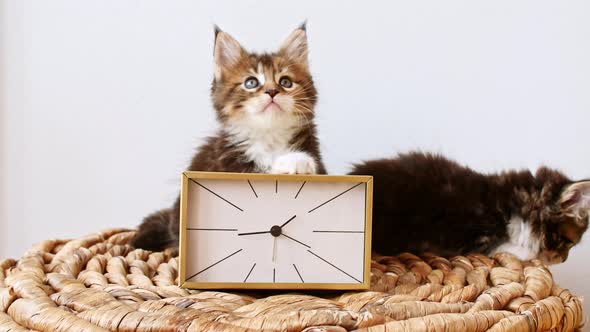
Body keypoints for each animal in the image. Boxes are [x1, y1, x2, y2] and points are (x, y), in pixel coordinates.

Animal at [132, 24, 326, 252]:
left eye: (285, 82)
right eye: (251, 83)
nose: (272, 91)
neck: (268, 137)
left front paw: (297, 161)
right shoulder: (229, 165)